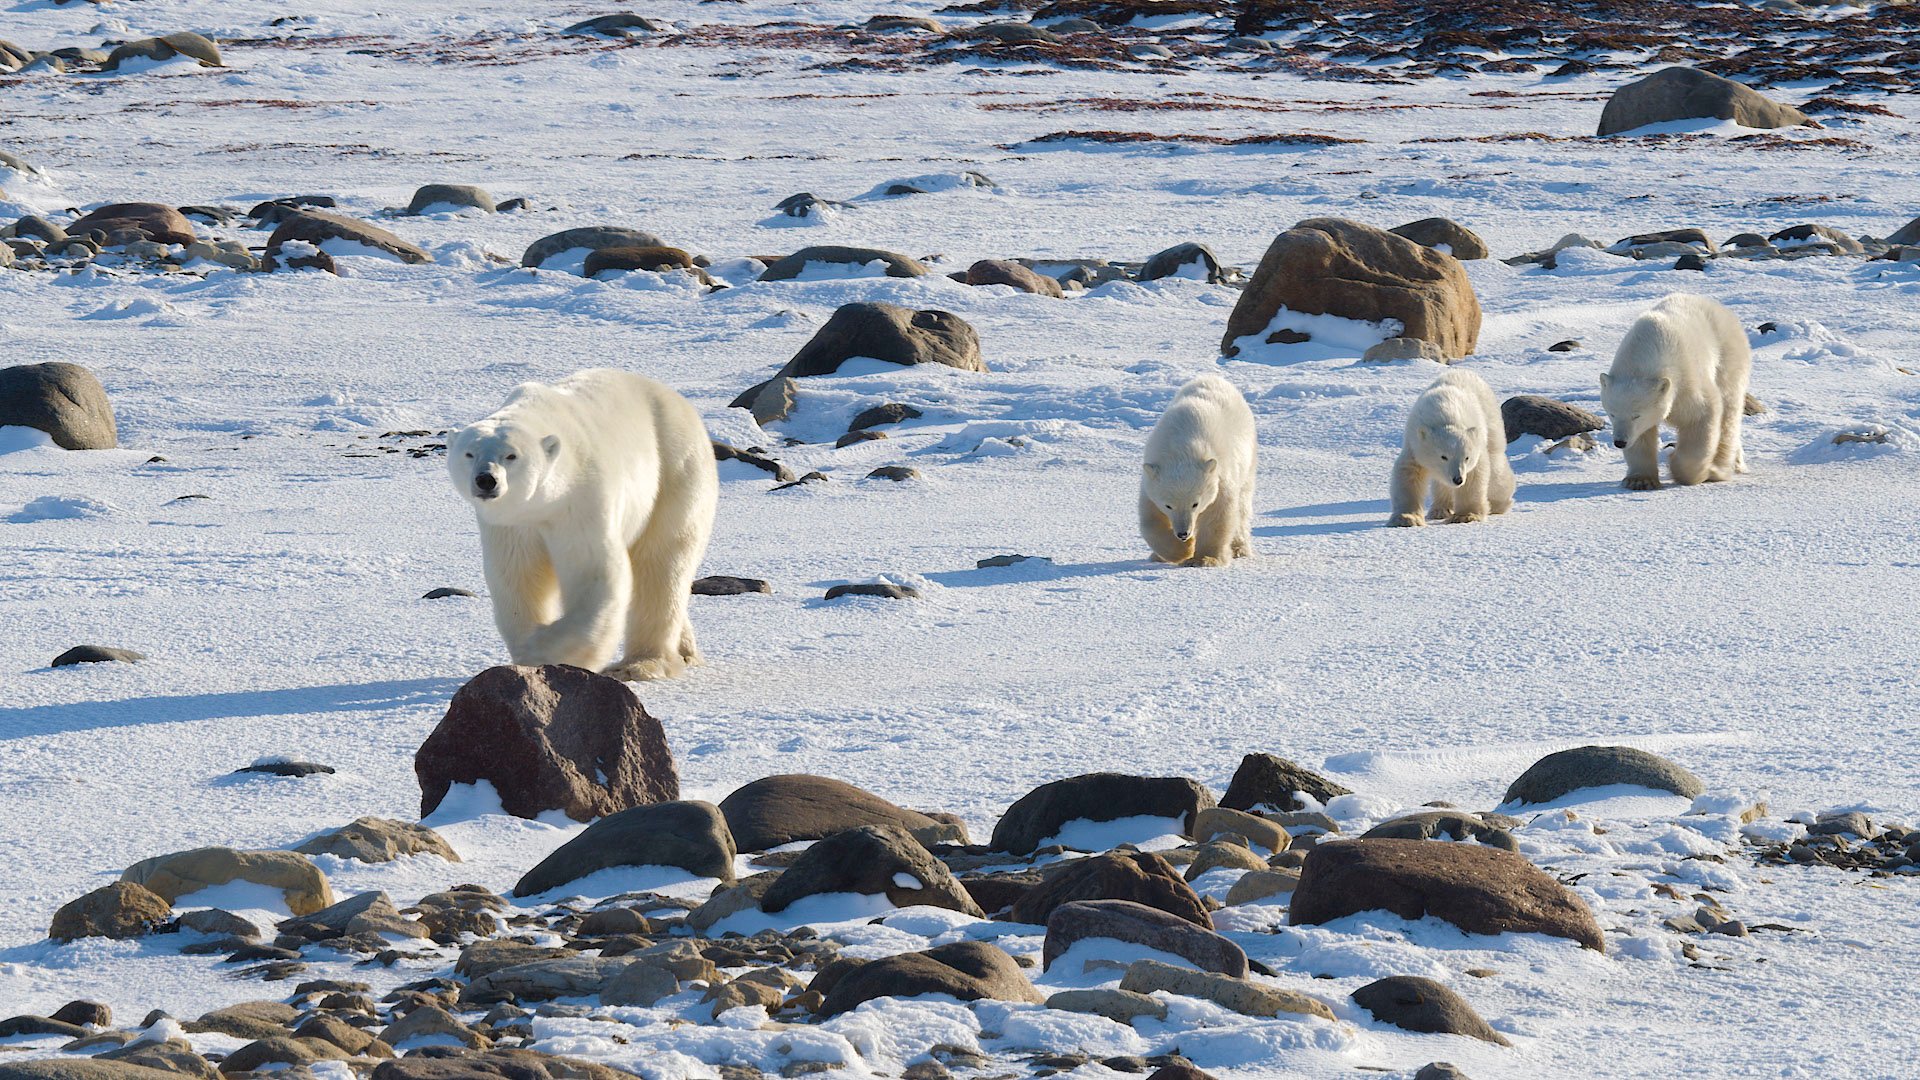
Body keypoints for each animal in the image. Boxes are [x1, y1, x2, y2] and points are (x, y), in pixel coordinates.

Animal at [445, 365, 718, 676]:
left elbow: (593, 571)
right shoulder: (512, 524)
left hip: (675, 468)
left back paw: (640, 664)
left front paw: (543, 648)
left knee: (661, 562)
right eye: (469, 453)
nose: (486, 480)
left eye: (511, 455)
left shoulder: (581, 502)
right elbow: (517, 575)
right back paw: (685, 650)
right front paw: (527, 649)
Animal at [1136, 372, 1259, 564]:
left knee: (1243, 506)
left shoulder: (1220, 473)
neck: (1182, 447)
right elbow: (1151, 519)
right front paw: (1183, 550)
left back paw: (1240, 548)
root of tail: (1213, 377)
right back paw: (1156, 556)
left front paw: (1204, 559)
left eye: (1195, 503)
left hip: (1248, 460)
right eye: (1168, 505)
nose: (1183, 534)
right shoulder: (1151, 475)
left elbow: (1217, 514)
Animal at [1397, 365, 1512, 526]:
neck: (1445, 416)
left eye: (1467, 458)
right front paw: (1406, 518)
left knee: (1496, 469)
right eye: (1443, 456)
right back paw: (1439, 510)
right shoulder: (1414, 443)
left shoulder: (1475, 445)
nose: (1458, 479)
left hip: (1491, 423)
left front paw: (1466, 516)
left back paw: (1498, 503)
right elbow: (1409, 473)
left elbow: (1474, 475)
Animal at [1597, 288, 1751, 486]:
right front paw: (1640, 480)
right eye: (1612, 413)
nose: (1619, 442)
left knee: (1728, 412)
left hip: (1728, 358)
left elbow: (1701, 416)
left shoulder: (1686, 380)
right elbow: (1642, 437)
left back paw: (1720, 469)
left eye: (1636, 415)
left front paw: (1686, 470)